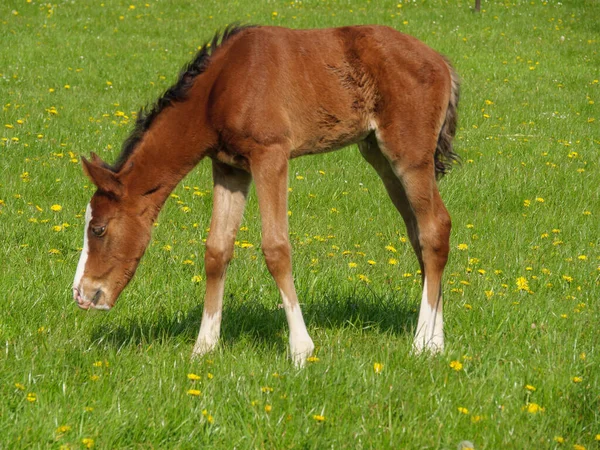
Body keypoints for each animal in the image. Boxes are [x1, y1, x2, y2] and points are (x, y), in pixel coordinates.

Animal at [74, 23, 460, 366]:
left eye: (99, 229)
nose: (82, 294)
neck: (222, 86)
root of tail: (442, 62)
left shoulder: (270, 155)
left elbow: (276, 248)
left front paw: (301, 349)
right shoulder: (230, 168)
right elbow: (216, 250)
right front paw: (204, 348)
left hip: (409, 155)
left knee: (434, 228)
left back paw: (422, 344)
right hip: (378, 154)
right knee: (419, 234)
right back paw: (436, 342)